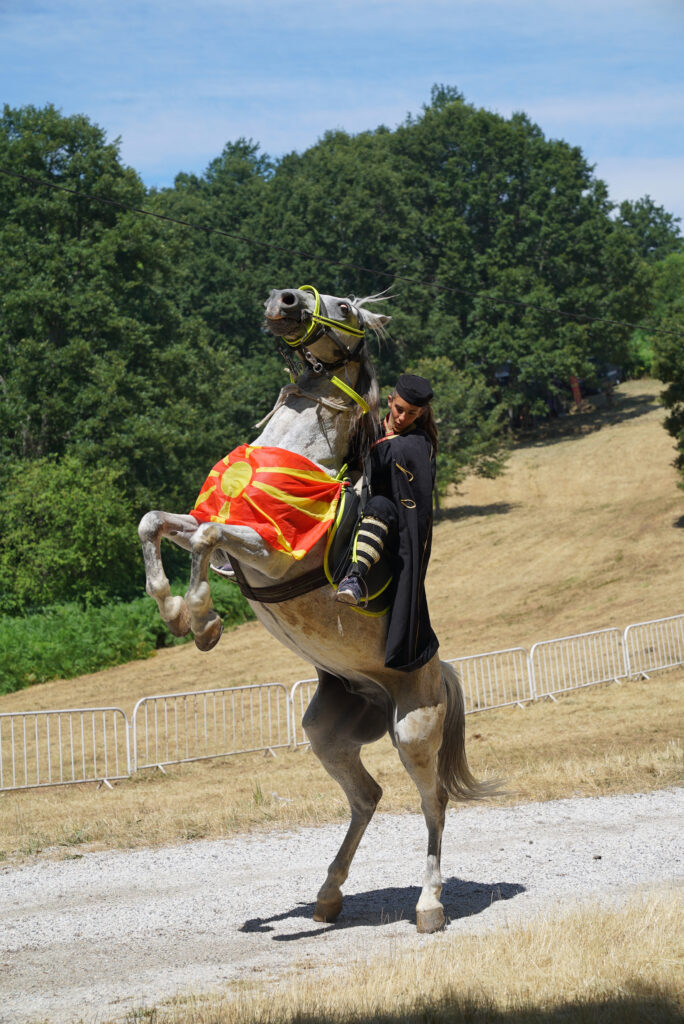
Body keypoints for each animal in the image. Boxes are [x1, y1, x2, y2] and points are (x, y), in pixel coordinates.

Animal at [139, 284, 491, 933]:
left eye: (346, 309)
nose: (284, 300)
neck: (299, 455)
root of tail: (436, 670)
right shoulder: (212, 521)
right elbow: (158, 523)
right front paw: (176, 612)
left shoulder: (268, 550)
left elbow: (206, 541)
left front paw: (200, 617)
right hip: (327, 732)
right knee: (367, 796)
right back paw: (328, 895)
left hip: (413, 728)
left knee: (433, 802)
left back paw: (429, 903)